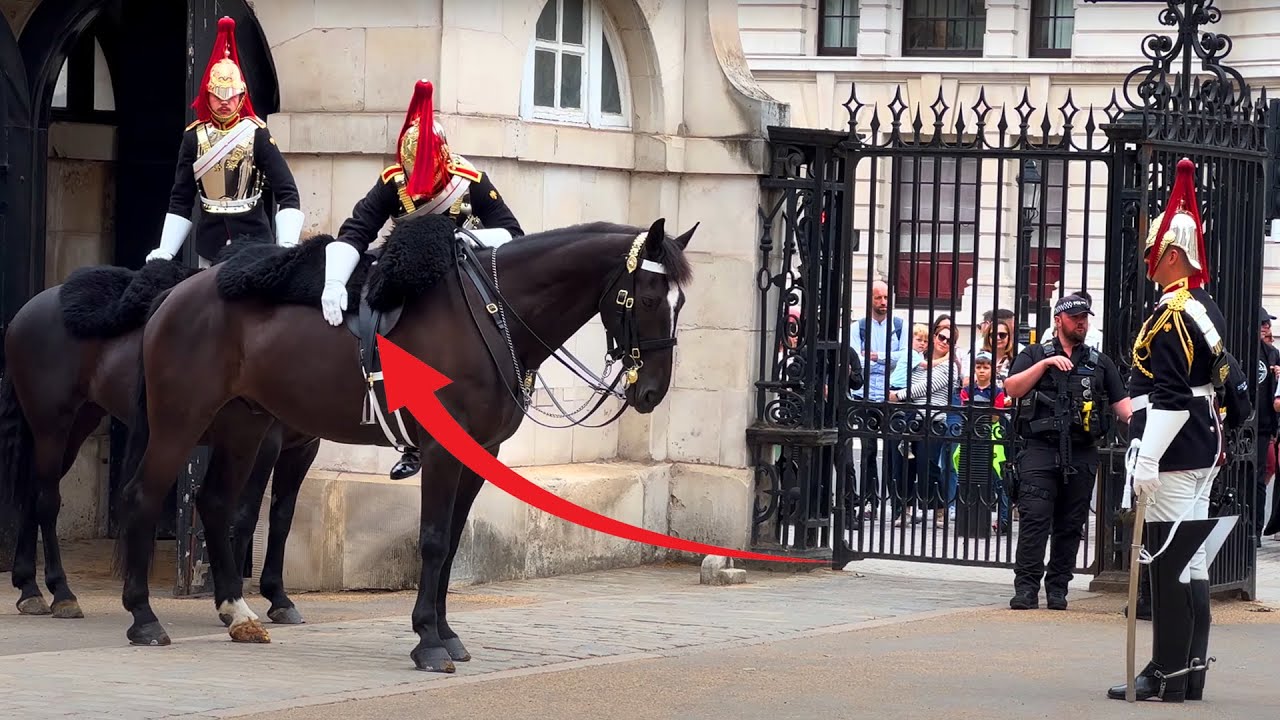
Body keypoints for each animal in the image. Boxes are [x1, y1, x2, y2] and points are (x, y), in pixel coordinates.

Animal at [0, 258, 318, 625]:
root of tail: (25, 313)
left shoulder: (303, 449)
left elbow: (282, 518)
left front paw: (277, 597)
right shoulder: (262, 443)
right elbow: (246, 515)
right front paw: (234, 593)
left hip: (75, 425)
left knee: (32, 492)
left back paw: (30, 589)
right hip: (52, 426)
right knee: (47, 500)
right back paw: (62, 593)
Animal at [113, 213, 695, 671]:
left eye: (681, 300)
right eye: (647, 297)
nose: (651, 391)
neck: (491, 315)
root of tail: (180, 290)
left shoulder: (480, 455)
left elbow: (453, 541)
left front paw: (447, 634)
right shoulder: (441, 451)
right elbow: (433, 540)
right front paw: (428, 641)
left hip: (245, 425)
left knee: (214, 502)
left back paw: (237, 611)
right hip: (181, 419)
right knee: (144, 495)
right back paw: (144, 617)